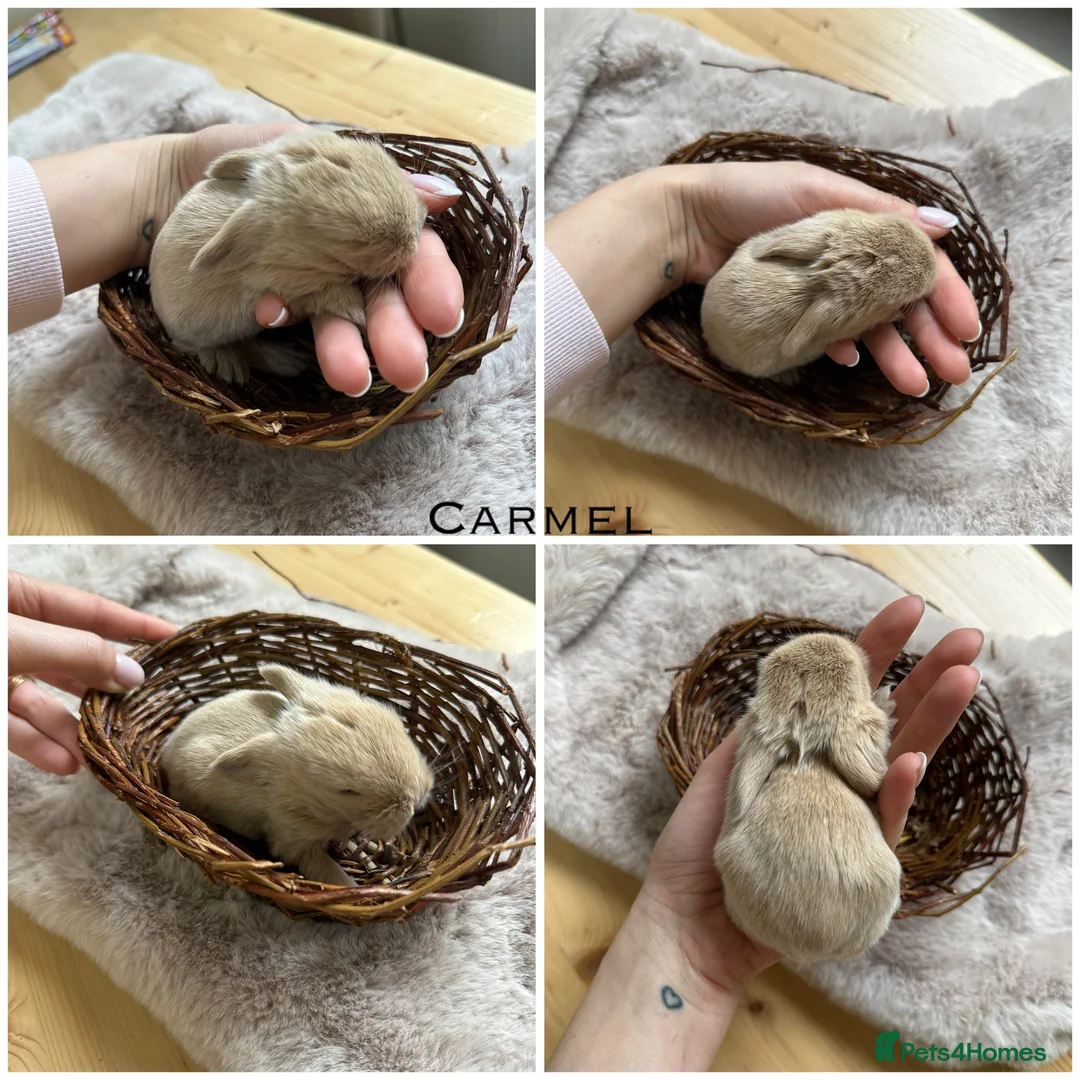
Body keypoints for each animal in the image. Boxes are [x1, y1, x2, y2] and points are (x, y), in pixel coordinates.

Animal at [148, 130, 429, 384]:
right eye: (355, 242)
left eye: (341, 160)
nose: (417, 227)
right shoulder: (297, 290)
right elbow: (334, 298)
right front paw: (359, 317)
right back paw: (258, 363)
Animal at [161, 663, 434, 888]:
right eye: (346, 791)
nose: (413, 802)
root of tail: (166, 751)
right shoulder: (293, 839)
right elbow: (326, 870)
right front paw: (357, 889)